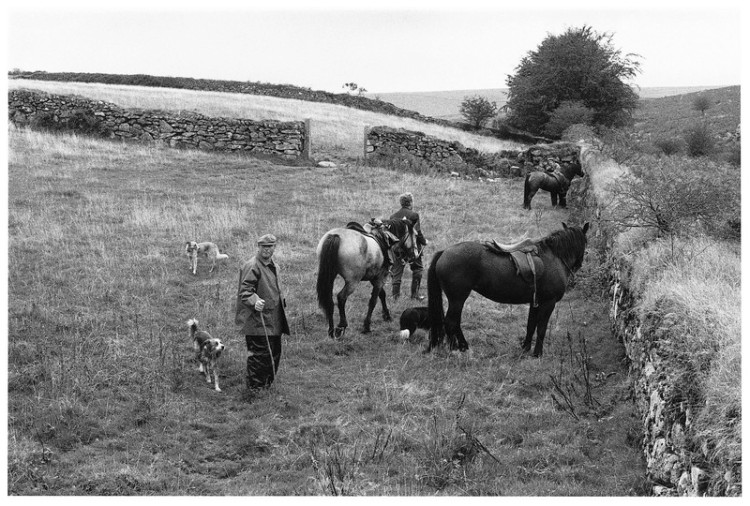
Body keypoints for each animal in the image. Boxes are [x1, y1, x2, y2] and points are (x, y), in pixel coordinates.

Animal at [426, 222, 589, 357]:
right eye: (586, 242)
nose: (579, 264)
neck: (555, 257)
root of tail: (444, 252)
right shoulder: (548, 303)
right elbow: (541, 328)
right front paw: (537, 353)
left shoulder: (535, 302)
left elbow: (531, 325)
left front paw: (525, 348)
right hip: (458, 299)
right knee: (451, 322)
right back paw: (455, 348)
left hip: (457, 300)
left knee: (455, 322)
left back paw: (463, 346)